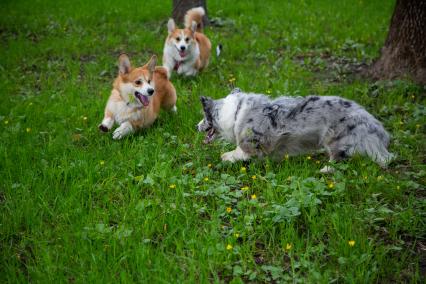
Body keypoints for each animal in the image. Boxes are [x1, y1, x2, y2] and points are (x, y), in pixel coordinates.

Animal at [198, 87, 394, 172]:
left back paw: (324, 169)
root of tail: (370, 120)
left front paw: (227, 157)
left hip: (333, 138)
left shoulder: (253, 142)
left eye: (204, 118)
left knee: (338, 159)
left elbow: (238, 151)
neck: (234, 113)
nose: (196, 126)